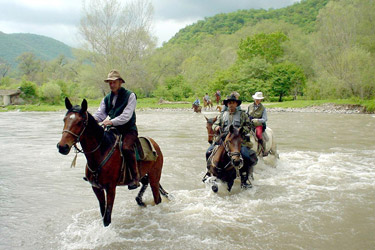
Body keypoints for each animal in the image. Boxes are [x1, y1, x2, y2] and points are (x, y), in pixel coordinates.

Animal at [56, 97, 168, 227]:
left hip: (155, 176)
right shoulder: (96, 188)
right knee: (145, 182)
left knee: (157, 197)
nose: (62, 147)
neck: (101, 153)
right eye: (64, 119)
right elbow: (103, 212)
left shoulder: (110, 188)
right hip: (142, 175)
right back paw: (140, 201)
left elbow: (107, 217)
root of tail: (154, 144)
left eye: (80, 122)